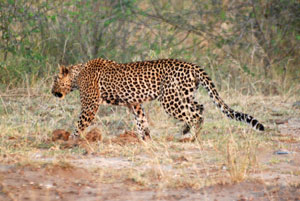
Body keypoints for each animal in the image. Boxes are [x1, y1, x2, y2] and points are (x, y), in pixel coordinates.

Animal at [52, 57, 264, 141]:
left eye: (55, 80)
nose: (52, 91)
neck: (77, 75)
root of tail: (192, 65)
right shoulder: (134, 103)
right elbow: (141, 120)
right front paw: (145, 139)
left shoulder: (90, 105)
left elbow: (80, 123)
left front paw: (71, 140)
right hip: (184, 95)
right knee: (199, 107)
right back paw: (186, 131)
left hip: (170, 100)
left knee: (195, 114)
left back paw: (192, 138)